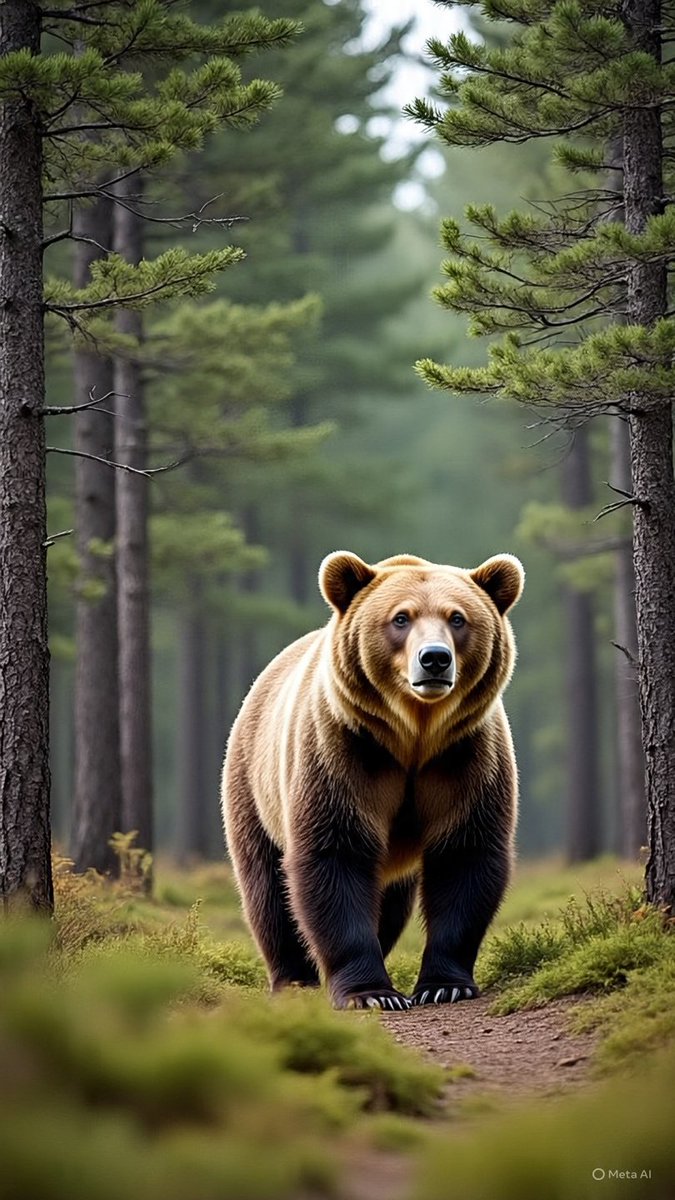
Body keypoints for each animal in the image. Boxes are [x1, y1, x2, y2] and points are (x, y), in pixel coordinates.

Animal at [221, 550, 524, 1011]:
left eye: (457, 617)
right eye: (401, 618)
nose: (434, 658)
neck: (414, 735)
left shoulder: (464, 758)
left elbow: (465, 857)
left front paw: (444, 984)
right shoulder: (344, 752)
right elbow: (334, 857)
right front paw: (371, 993)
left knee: (392, 901)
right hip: (253, 786)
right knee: (267, 890)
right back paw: (292, 979)